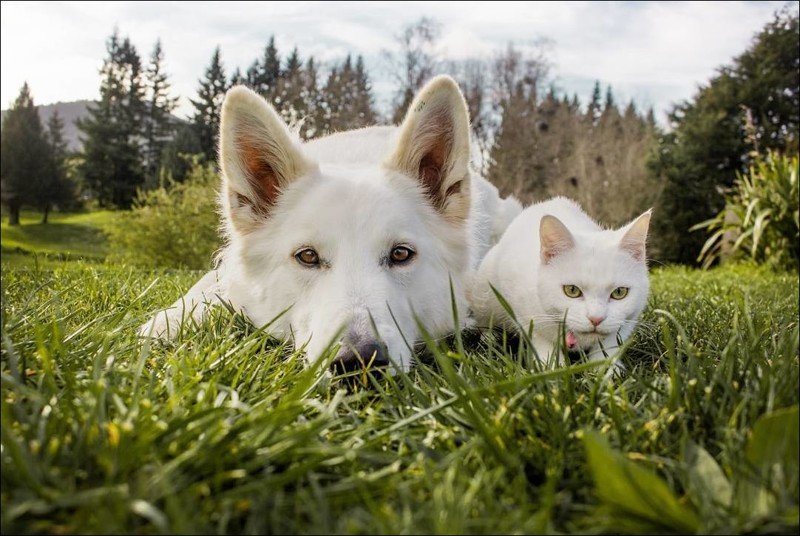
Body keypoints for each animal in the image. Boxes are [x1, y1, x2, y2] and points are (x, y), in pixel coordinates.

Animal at [468, 199, 648, 366]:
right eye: (572, 290)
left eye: (619, 292)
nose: (596, 319)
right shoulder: (523, 308)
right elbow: (540, 338)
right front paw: (552, 367)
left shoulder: (629, 319)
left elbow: (610, 342)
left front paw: (605, 367)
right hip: (483, 295)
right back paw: (490, 338)